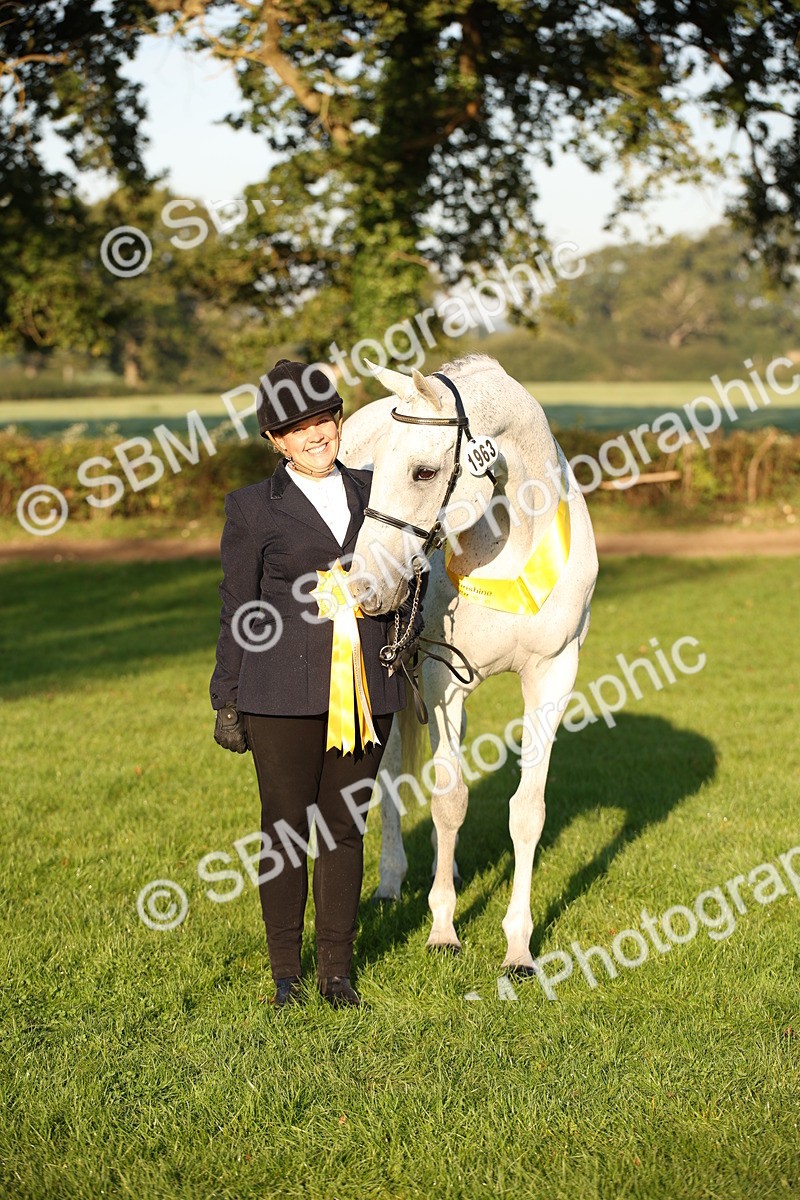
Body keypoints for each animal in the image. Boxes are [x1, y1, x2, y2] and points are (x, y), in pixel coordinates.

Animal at [340, 353, 598, 971]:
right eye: (376, 466)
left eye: (423, 472)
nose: (364, 587)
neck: (513, 547)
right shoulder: (439, 680)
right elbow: (449, 800)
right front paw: (442, 929)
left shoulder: (552, 677)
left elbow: (527, 811)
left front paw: (519, 946)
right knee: (392, 780)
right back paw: (393, 881)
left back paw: (447, 866)